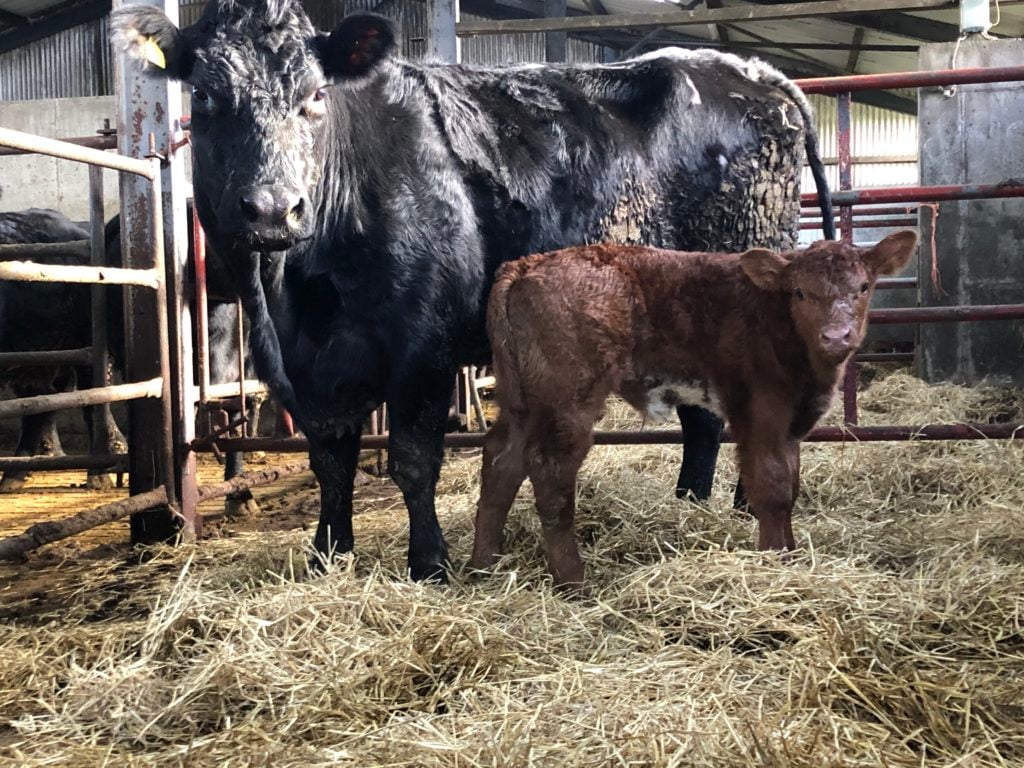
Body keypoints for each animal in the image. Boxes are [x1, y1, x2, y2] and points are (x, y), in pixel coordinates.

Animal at [111, 0, 835, 581]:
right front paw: (327, 555)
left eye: (315, 95)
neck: (300, 296)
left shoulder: (421, 347)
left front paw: (429, 562)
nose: (270, 209)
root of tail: (755, 72)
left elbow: (412, 458)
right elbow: (331, 461)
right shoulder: (309, 369)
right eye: (205, 97)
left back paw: (745, 507)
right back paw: (694, 503)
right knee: (704, 415)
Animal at [470, 232, 919, 589]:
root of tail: (526, 264)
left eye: (863, 286)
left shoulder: (790, 422)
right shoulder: (760, 411)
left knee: (502, 461)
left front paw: (790, 554)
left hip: (522, 399)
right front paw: (775, 562)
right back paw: (574, 581)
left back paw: (483, 566)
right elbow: (772, 489)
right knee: (550, 472)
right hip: (567, 399)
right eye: (801, 292)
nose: (837, 335)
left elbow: (791, 486)